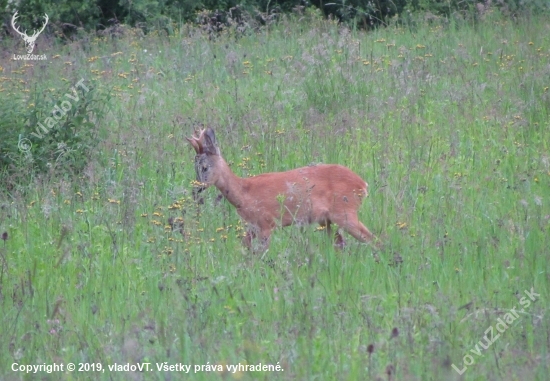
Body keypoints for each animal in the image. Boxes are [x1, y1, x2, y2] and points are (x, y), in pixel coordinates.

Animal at [188, 128, 378, 249]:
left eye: (204, 167)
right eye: (194, 167)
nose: (196, 190)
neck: (243, 193)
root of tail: (363, 185)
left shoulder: (266, 223)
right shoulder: (253, 226)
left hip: (345, 212)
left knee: (373, 240)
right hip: (328, 220)